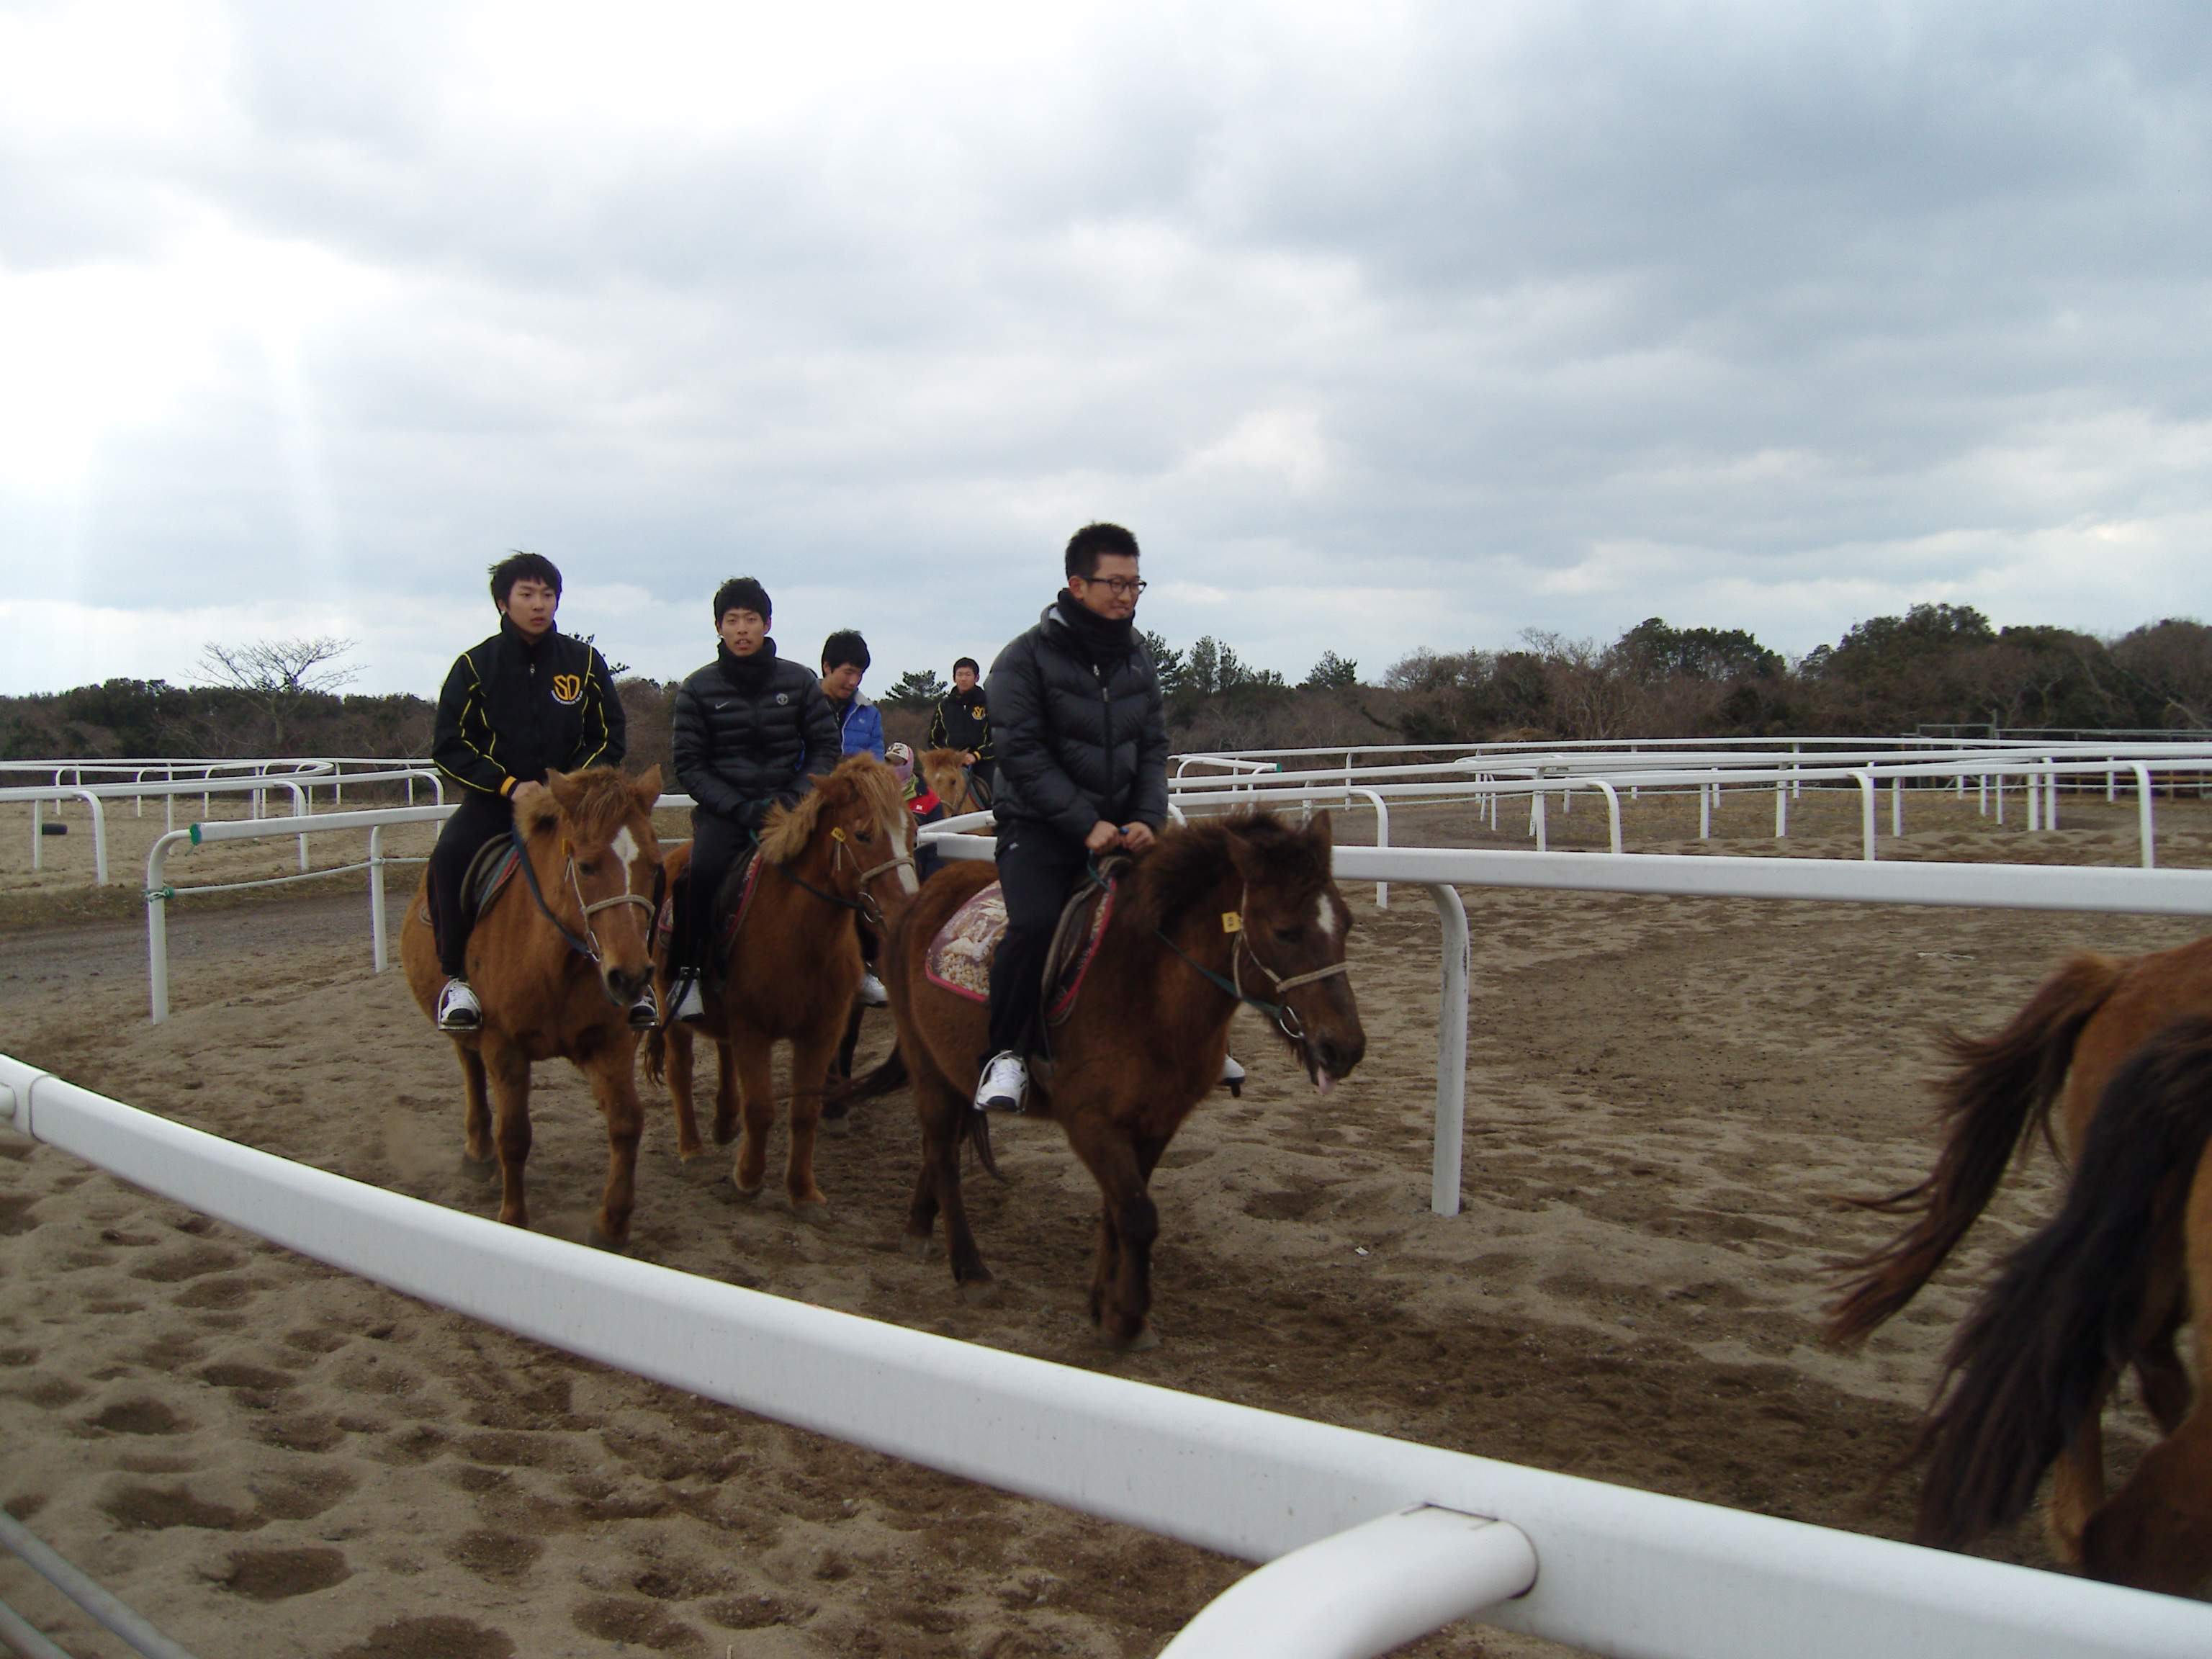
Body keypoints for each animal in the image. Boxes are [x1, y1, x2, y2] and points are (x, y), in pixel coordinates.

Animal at [403, 765, 663, 1247]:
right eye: (586, 865)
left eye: (655, 866)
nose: (632, 977)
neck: (556, 960)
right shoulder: (504, 1047)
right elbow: (515, 1136)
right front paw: (513, 1219)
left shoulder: (611, 1044)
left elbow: (626, 1123)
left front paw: (612, 1224)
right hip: (469, 1032)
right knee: (471, 1073)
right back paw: (478, 1154)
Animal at [641, 760, 915, 1212]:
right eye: (863, 834)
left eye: (912, 832)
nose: (907, 909)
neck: (795, 934)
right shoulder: (753, 1028)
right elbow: (761, 1108)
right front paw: (749, 1177)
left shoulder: (821, 1031)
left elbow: (804, 1110)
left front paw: (803, 1191)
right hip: (672, 1008)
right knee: (681, 1071)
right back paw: (692, 1148)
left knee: (724, 1054)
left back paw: (724, 1122)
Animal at [863, 814, 1362, 1354]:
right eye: (1284, 932)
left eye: (1347, 924)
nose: (1345, 1047)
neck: (1148, 987)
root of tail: (919, 900)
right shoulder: (1091, 1123)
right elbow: (1139, 1216)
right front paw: (1129, 1319)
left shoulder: (1156, 1122)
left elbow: (1118, 1213)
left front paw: (1106, 1306)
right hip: (927, 1067)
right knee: (943, 1158)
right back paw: (971, 1270)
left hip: (954, 1071)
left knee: (941, 1150)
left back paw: (918, 1227)